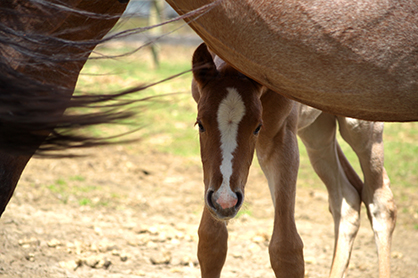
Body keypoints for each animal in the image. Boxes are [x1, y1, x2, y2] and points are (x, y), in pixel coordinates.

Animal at [191, 41, 396, 278]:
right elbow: (211, 241)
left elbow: (286, 249)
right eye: (200, 124)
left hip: (361, 127)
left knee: (381, 204)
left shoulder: (282, 140)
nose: (226, 200)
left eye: (257, 128)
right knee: (347, 198)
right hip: (318, 133)